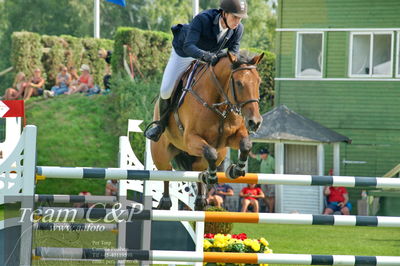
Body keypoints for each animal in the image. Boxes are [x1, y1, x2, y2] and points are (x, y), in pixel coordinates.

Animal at [149, 51, 262, 210]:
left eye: (259, 82)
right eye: (239, 83)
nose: (255, 122)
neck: (219, 104)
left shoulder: (232, 138)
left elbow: (245, 145)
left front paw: (236, 170)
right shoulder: (191, 139)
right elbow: (210, 152)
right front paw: (213, 176)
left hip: (219, 153)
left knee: (198, 169)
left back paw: (201, 199)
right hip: (160, 153)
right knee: (166, 171)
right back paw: (165, 201)